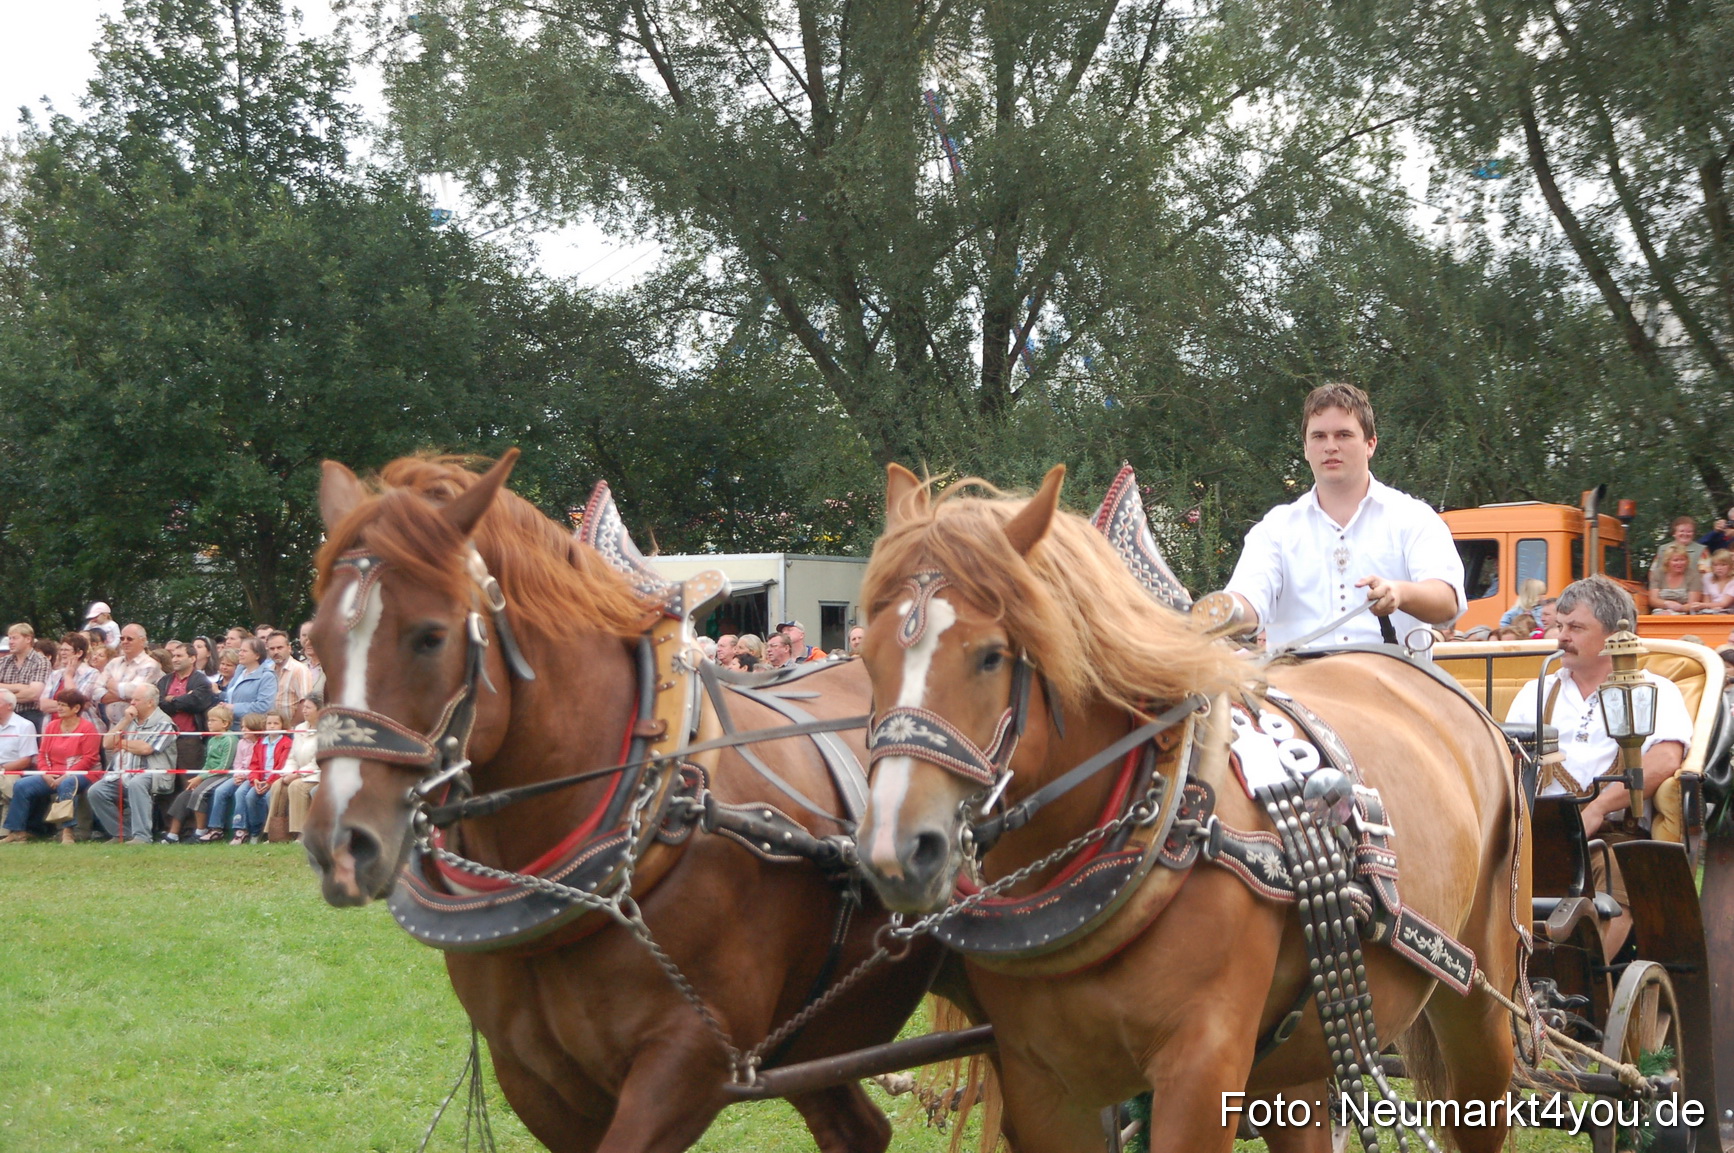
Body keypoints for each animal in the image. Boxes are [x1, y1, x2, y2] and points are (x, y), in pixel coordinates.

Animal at [853, 463, 1529, 1153]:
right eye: (866, 655)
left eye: (990, 655)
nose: (896, 852)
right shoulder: (1037, 1083)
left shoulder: (1204, 1068)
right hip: (1300, 1061)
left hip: (1481, 1002)